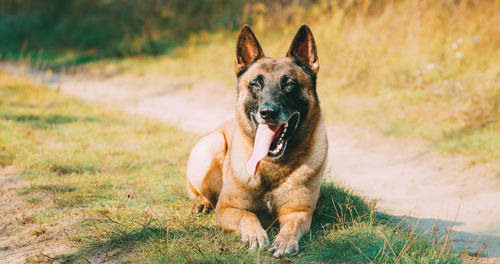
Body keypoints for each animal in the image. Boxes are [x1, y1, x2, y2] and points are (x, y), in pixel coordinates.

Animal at [185, 24, 328, 258]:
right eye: (255, 84)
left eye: (289, 84)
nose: (268, 112)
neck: (272, 166)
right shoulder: (226, 209)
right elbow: (248, 215)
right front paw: (255, 234)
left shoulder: (299, 213)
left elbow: (292, 226)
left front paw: (285, 241)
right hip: (212, 145)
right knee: (206, 196)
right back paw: (202, 205)